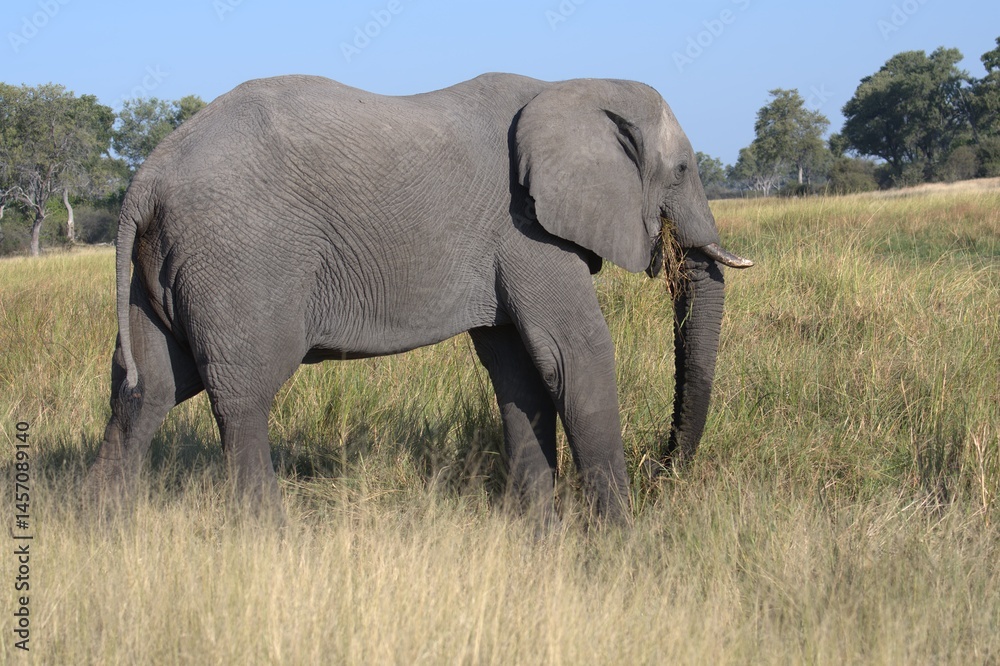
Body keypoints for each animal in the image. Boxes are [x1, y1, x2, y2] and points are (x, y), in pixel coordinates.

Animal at [89, 73, 752, 524]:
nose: (661, 470)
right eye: (684, 170)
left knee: (148, 389)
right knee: (241, 395)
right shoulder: (527, 230)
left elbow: (518, 369)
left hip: (167, 268)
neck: (570, 86)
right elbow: (574, 354)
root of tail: (145, 180)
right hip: (240, 260)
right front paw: (621, 539)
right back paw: (268, 537)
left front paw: (541, 533)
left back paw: (102, 528)